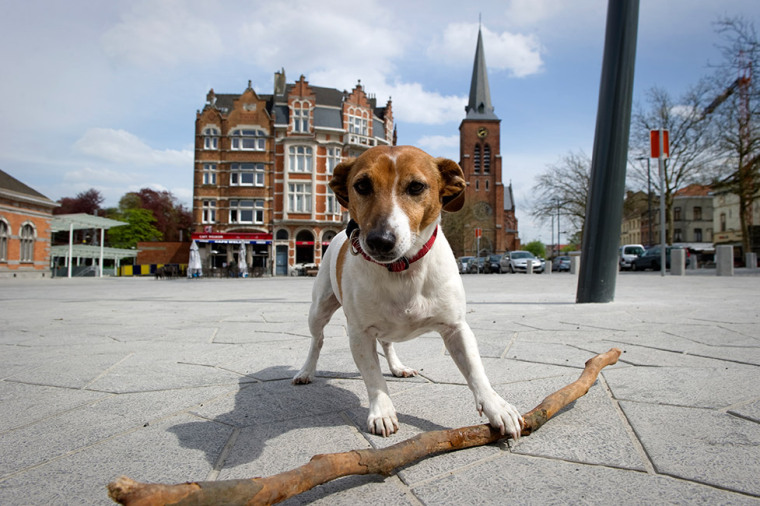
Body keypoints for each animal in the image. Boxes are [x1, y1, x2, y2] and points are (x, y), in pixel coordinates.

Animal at [292, 143, 524, 438]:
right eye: (362, 185)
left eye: (416, 186)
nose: (379, 240)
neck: (402, 269)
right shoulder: (359, 334)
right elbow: (373, 378)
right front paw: (382, 411)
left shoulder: (456, 328)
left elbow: (476, 371)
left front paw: (497, 406)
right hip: (319, 308)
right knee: (317, 340)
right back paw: (306, 371)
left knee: (387, 343)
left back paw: (397, 367)